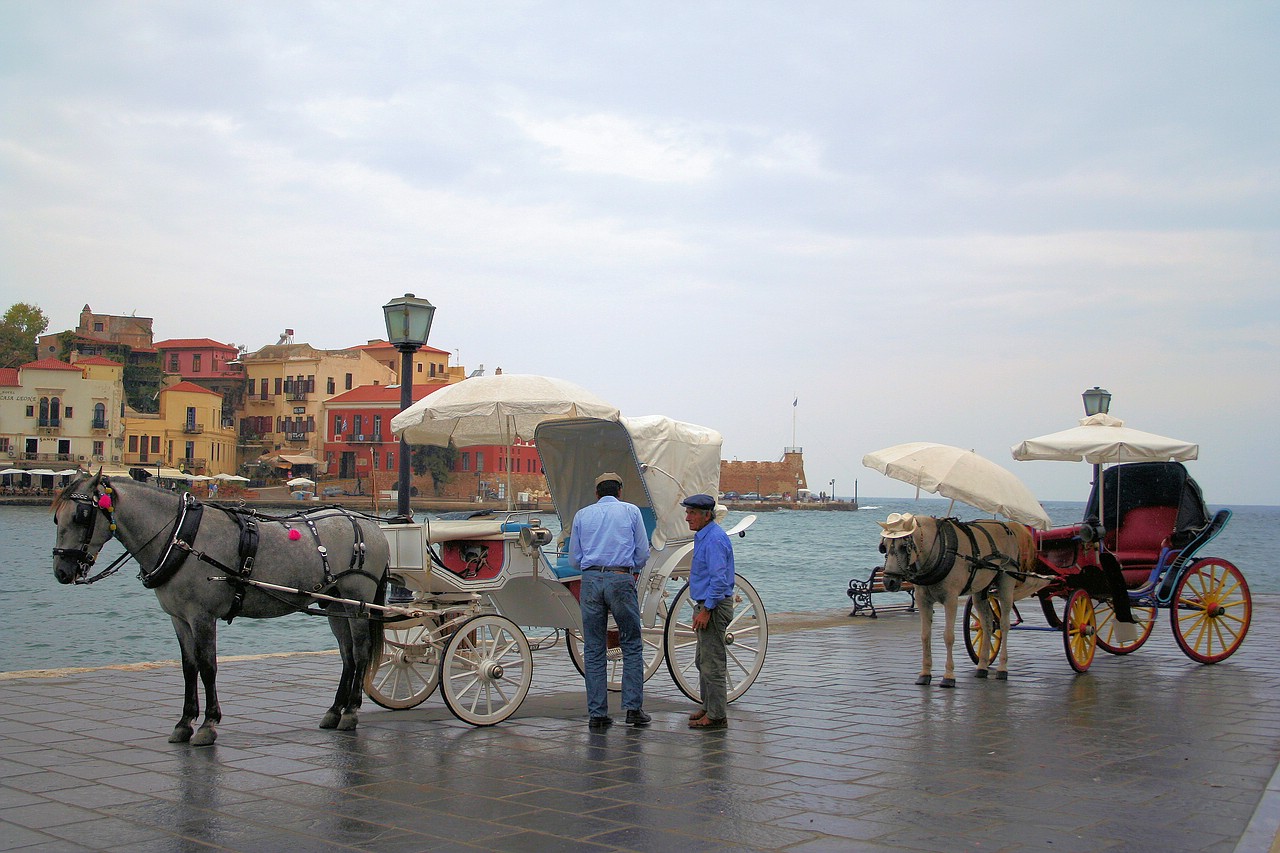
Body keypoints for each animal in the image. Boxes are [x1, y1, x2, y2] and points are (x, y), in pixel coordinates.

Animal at [52, 471, 389, 742]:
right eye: (56, 518)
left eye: (81, 515)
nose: (62, 572)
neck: (180, 537)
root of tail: (368, 524)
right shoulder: (179, 618)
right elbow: (189, 667)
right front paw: (184, 722)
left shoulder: (202, 616)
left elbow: (208, 666)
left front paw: (208, 724)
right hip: (334, 603)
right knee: (347, 654)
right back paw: (335, 709)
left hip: (358, 601)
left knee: (361, 651)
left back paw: (351, 711)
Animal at [880, 512, 1049, 686]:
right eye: (884, 546)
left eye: (903, 547)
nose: (888, 581)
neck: (939, 549)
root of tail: (1008, 526)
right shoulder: (922, 600)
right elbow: (925, 635)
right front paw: (925, 674)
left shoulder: (951, 599)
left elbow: (948, 636)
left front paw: (948, 676)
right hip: (980, 591)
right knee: (987, 624)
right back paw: (982, 666)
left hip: (1006, 583)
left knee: (1004, 625)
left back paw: (1002, 668)